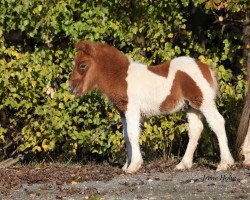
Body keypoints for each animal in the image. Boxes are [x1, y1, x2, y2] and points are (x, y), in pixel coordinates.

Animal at [69, 41, 234, 173]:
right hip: (191, 106)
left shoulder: (132, 111)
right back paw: (183, 164)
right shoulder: (123, 112)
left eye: (82, 65)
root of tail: (206, 68)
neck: (122, 77)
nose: (71, 89)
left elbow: (132, 134)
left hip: (204, 102)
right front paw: (126, 165)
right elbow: (126, 136)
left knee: (218, 123)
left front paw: (134, 166)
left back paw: (224, 164)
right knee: (195, 130)